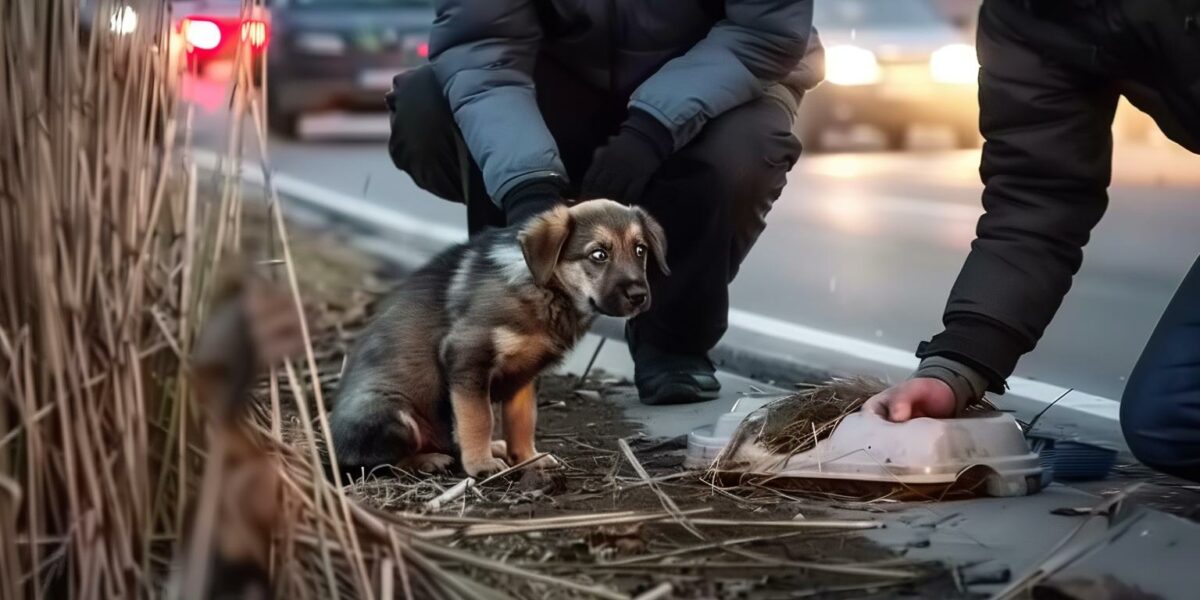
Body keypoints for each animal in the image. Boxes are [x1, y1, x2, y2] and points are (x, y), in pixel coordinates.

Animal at [333, 201, 672, 477]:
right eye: (598, 255)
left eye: (640, 250)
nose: (639, 296)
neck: (544, 289)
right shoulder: (467, 358)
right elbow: (479, 417)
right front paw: (481, 465)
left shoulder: (525, 377)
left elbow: (522, 422)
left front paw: (528, 459)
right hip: (391, 412)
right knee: (374, 462)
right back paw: (427, 460)